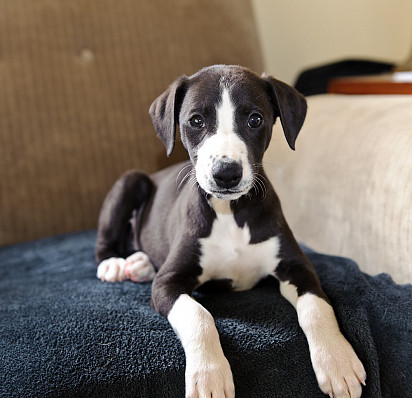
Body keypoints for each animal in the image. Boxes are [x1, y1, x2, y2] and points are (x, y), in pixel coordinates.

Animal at [95, 65, 366, 398]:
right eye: (196, 121)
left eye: (255, 119)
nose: (226, 173)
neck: (230, 213)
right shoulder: (167, 283)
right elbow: (199, 316)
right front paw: (208, 375)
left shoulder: (297, 267)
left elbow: (317, 307)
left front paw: (337, 361)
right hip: (130, 180)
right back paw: (115, 264)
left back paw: (140, 264)